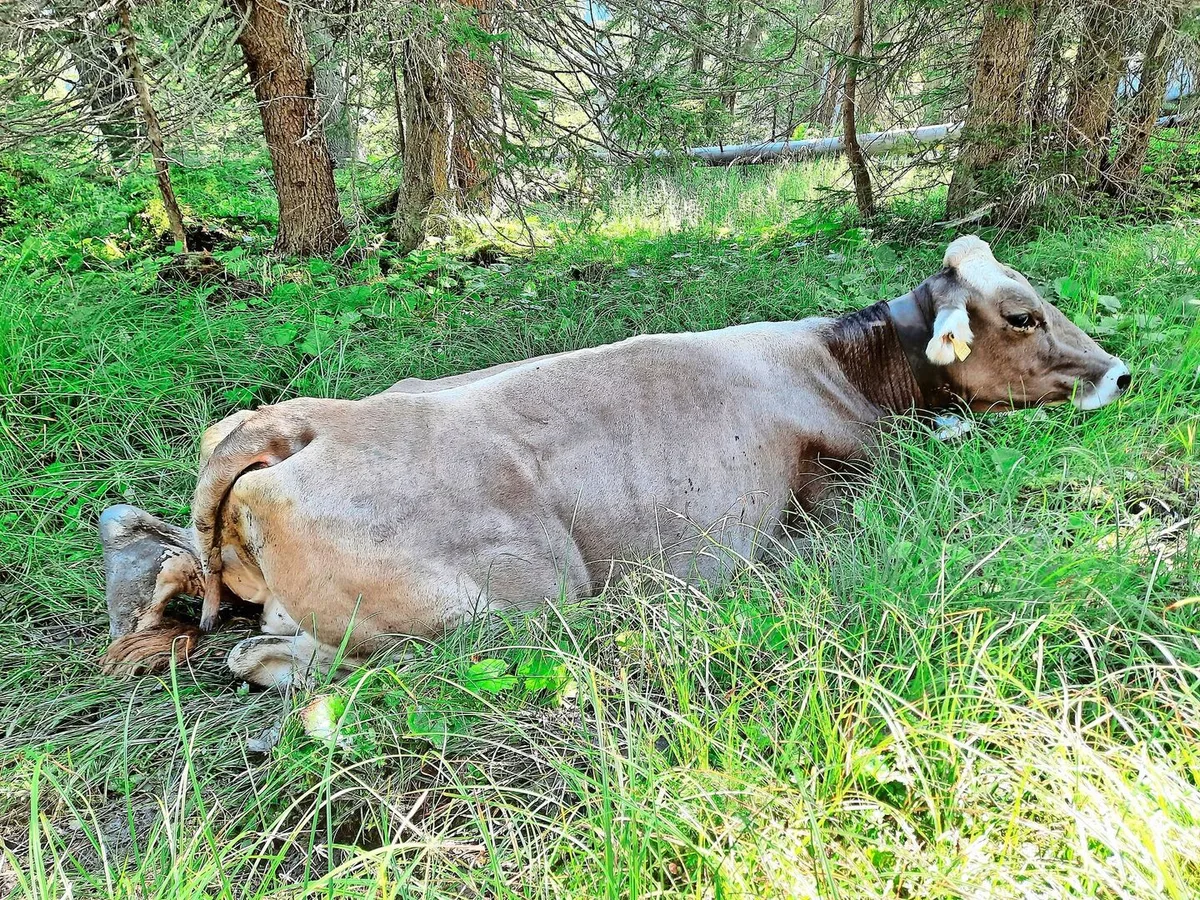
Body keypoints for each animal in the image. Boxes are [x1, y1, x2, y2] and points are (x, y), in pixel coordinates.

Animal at [99, 236, 1131, 687]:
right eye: (1024, 314)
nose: (1120, 372)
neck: (839, 365)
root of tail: (296, 423)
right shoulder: (843, 479)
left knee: (183, 572)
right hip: (522, 600)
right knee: (274, 659)